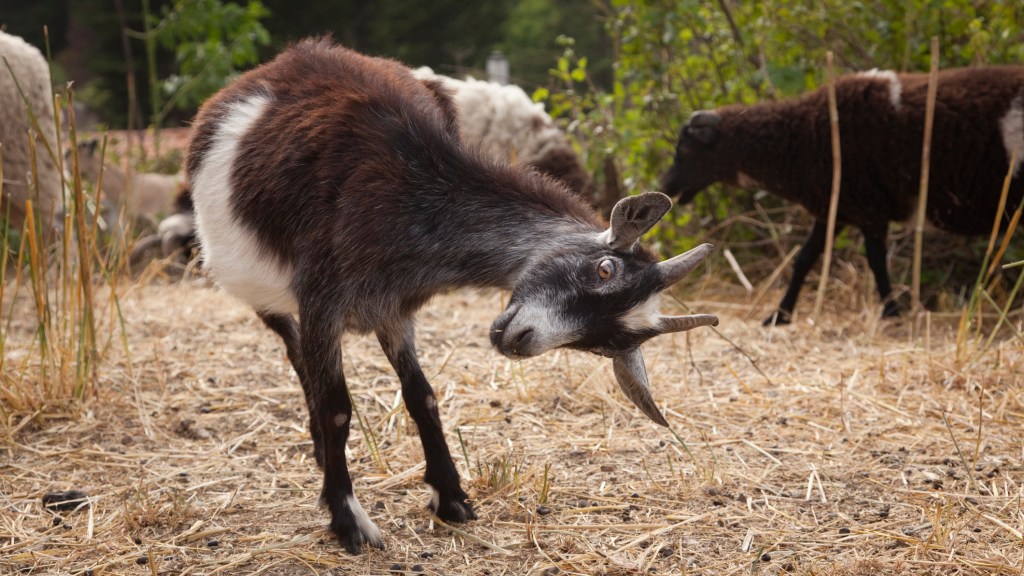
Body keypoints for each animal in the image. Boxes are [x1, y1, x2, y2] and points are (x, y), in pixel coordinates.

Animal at [186, 38, 720, 549]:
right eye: (605, 268)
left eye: (606, 344)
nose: (521, 340)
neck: (411, 199)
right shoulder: (323, 297)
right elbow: (337, 406)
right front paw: (349, 520)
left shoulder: (391, 306)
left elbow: (421, 395)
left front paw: (450, 495)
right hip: (258, 284)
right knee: (296, 353)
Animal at [663, 65, 1024, 325]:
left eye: (685, 148)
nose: (667, 187)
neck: (799, 136)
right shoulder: (834, 210)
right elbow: (804, 259)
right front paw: (780, 316)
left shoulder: (868, 209)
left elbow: (876, 260)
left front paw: (892, 313)